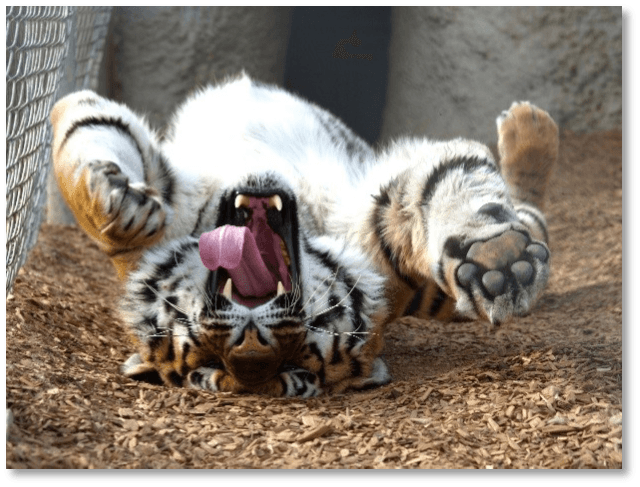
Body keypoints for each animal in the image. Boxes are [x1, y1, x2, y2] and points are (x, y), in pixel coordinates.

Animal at [50, 73, 558, 397]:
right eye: (212, 360)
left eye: (303, 345)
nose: (251, 328)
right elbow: (77, 132)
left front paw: (497, 258)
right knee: (534, 219)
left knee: (530, 218)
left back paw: (530, 128)